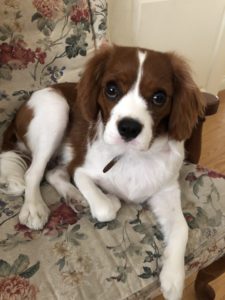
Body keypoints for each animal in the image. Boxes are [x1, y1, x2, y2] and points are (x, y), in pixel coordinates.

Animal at [0, 45, 204, 300]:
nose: (129, 128)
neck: (132, 157)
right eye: (111, 89)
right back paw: (35, 208)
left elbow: (182, 227)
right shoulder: (81, 170)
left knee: (52, 173)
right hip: (56, 109)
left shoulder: (167, 190)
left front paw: (174, 277)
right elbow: (106, 208)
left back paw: (75, 198)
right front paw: (111, 199)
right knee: (34, 174)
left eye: (159, 97)